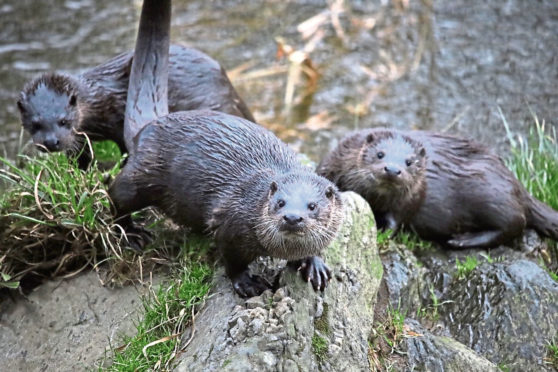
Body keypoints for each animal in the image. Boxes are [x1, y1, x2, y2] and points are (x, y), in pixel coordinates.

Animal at [16, 45, 255, 169]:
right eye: (35, 124)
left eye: (63, 120)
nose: (51, 142)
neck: (101, 100)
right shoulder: (82, 138)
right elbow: (80, 156)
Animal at [109, 0, 344, 296]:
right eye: (280, 202)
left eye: (312, 206)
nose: (292, 217)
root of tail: (149, 125)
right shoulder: (230, 225)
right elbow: (232, 261)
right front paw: (246, 282)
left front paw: (314, 264)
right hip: (141, 177)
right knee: (114, 194)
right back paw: (131, 232)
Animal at [318, 129, 558, 250]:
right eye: (380, 154)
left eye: (409, 162)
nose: (393, 169)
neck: (375, 199)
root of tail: (518, 186)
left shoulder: (409, 201)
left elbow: (395, 225)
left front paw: (379, 234)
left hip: (493, 194)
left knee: (516, 222)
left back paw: (462, 240)